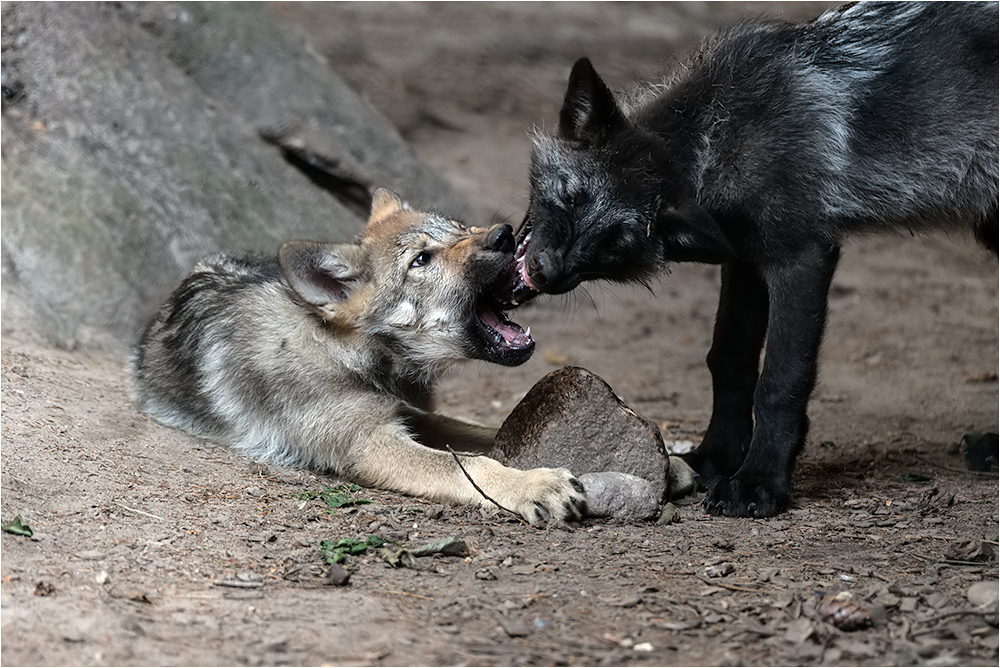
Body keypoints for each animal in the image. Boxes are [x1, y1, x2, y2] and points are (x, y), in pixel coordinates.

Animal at [516, 1, 1000, 516]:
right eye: (569, 197)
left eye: (614, 244)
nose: (545, 270)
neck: (721, 134)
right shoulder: (744, 259)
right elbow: (729, 360)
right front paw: (716, 458)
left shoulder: (802, 258)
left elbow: (780, 381)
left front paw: (759, 480)